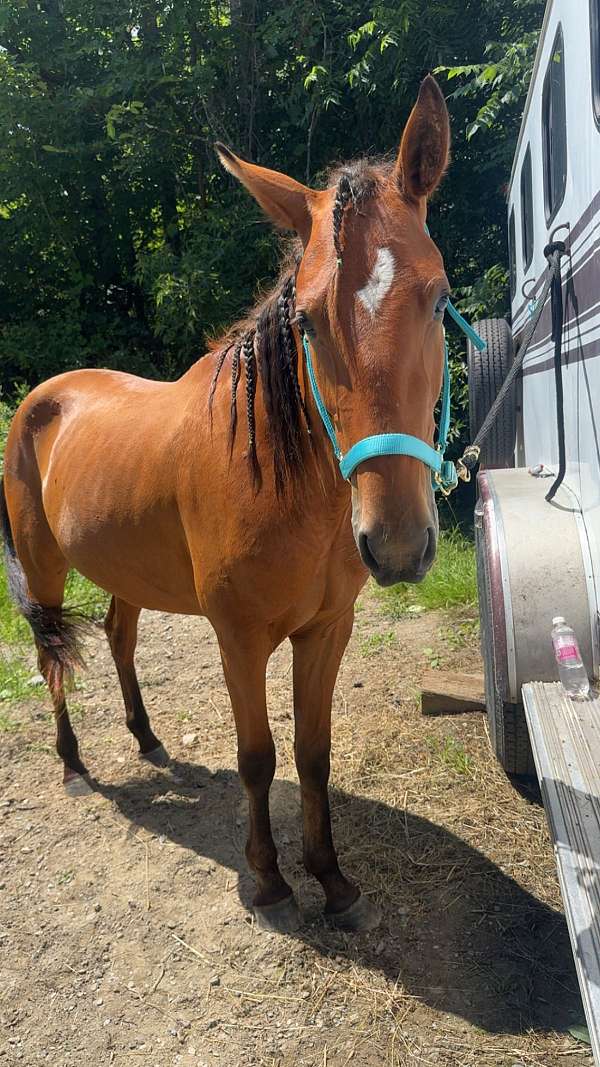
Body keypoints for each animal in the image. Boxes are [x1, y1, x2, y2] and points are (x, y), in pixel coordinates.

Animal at [0, 75, 451, 933]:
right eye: (306, 319)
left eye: (440, 300)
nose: (397, 544)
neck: (283, 483)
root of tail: (42, 396)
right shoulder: (238, 638)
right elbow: (258, 756)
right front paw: (270, 880)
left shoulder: (327, 630)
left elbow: (313, 754)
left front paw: (331, 877)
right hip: (42, 569)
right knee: (51, 656)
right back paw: (73, 764)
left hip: (125, 569)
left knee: (118, 636)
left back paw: (147, 740)